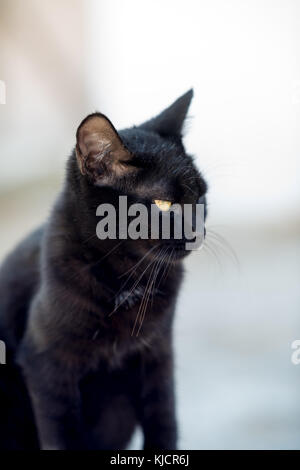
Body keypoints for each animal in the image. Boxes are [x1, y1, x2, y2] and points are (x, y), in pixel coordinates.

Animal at [0, 90, 206, 450]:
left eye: (201, 198)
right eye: (164, 205)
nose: (199, 231)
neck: (131, 276)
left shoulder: (157, 354)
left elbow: (164, 420)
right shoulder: (46, 363)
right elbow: (62, 435)